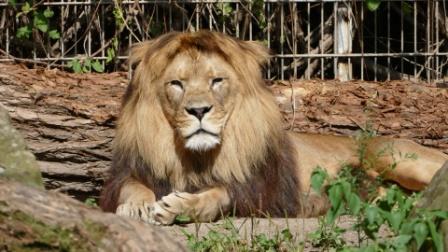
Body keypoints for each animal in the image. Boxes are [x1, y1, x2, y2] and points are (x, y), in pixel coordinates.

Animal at [99, 30, 448, 225]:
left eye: (216, 81)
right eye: (176, 84)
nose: (198, 110)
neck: (194, 156)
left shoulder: (263, 193)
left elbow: (217, 196)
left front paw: (180, 205)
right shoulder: (131, 169)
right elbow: (132, 187)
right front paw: (137, 207)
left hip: (397, 158)